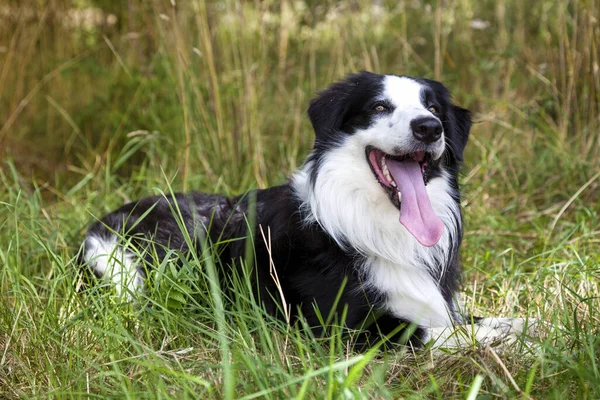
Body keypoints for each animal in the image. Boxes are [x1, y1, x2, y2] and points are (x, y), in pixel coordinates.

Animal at [78, 72, 528, 350]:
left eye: (433, 109)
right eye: (379, 107)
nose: (429, 128)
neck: (369, 223)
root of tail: (105, 221)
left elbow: (484, 322)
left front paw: (530, 327)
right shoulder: (344, 329)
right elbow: (442, 334)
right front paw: (527, 343)